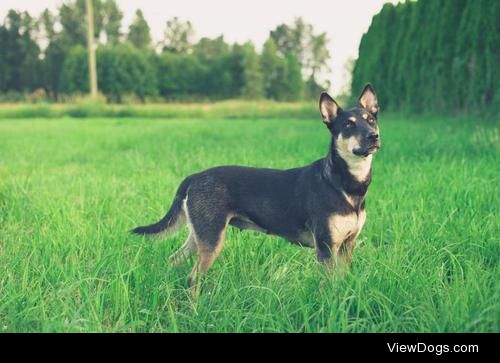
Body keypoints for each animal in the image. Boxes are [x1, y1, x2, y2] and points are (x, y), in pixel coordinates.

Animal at [131, 85, 380, 296]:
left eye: (371, 120)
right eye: (348, 125)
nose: (374, 136)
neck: (343, 183)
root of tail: (193, 177)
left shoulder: (347, 245)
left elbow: (342, 281)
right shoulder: (326, 248)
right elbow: (328, 286)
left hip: (199, 235)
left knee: (174, 259)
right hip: (212, 240)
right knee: (193, 278)